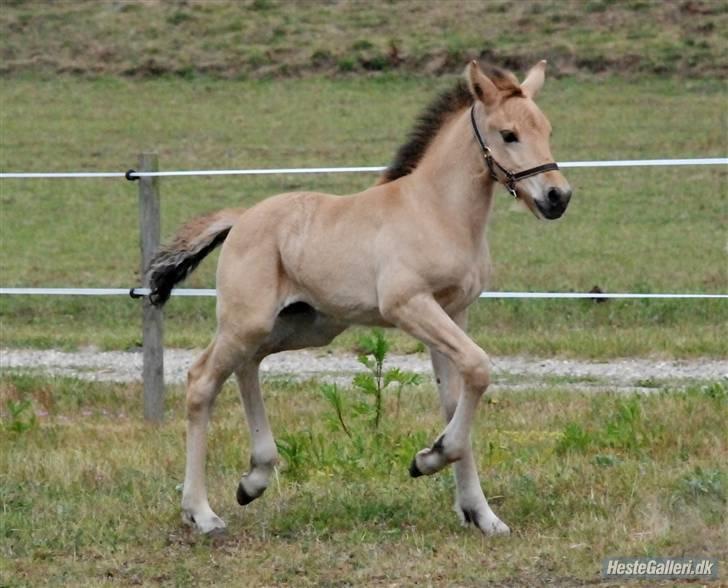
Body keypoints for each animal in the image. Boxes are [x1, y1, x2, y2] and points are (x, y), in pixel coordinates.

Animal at [149, 62, 576, 536]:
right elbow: (479, 368)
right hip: (248, 321)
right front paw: (427, 460)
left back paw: (254, 480)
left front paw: (480, 514)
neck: (437, 211)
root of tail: (241, 219)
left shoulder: (453, 311)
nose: (557, 197)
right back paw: (201, 513)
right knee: (202, 380)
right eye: (508, 134)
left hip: (304, 324)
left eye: (547, 130)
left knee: (247, 366)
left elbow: (456, 395)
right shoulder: (409, 305)